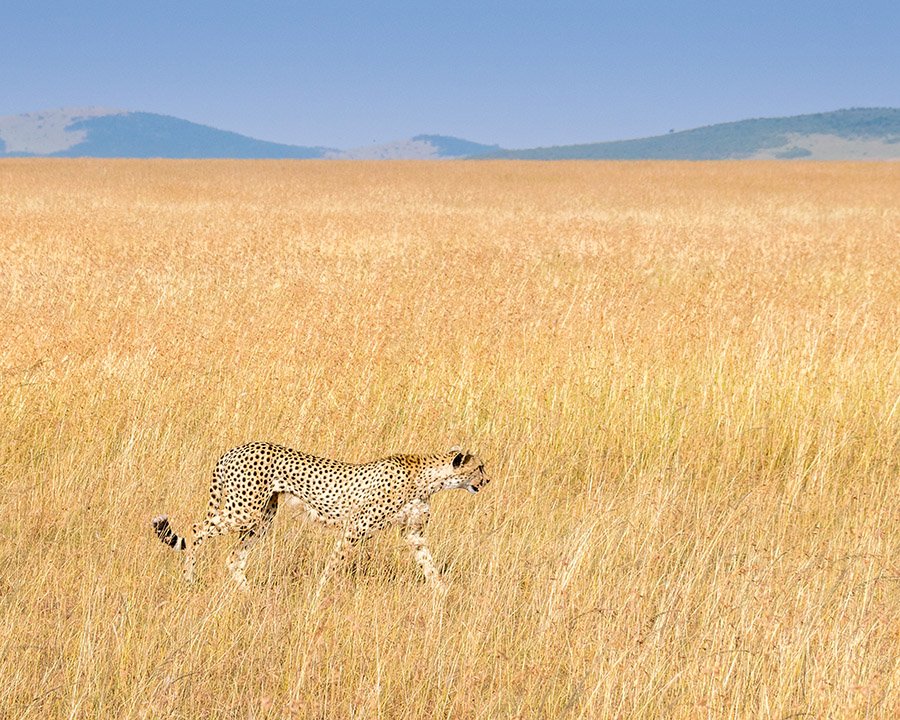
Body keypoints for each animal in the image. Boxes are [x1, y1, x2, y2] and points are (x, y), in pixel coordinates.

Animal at [151, 442, 488, 592]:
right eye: (479, 467)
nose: (487, 480)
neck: (427, 477)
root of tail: (232, 450)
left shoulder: (413, 534)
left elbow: (429, 565)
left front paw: (442, 595)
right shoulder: (355, 528)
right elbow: (335, 563)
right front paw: (320, 591)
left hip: (262, 518)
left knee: (234, 557)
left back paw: (248, 594)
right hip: (244, 511)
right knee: (197, 529)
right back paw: (190, 578)